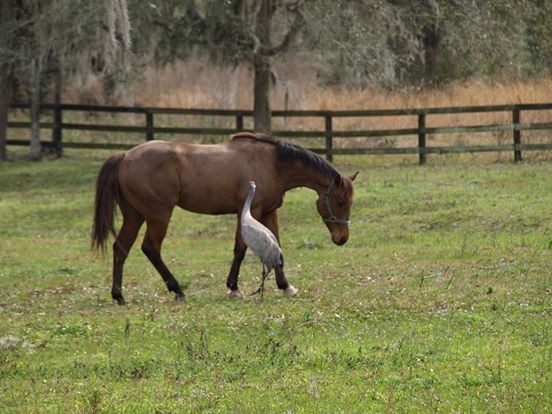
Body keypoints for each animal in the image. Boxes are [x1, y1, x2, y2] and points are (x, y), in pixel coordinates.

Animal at [91, 133, 358, 304]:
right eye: (341, 202)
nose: (343, 238)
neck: (272, 164)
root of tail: (125, 155)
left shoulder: (269, 212)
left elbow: (276, 247)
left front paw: (285, 286)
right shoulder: (249, 212)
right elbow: (240, 250)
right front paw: (234, 288)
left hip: (134, 216)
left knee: (121, 248)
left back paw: (119, 295)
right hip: (158, 215)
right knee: (151, 248)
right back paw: (176, 289)